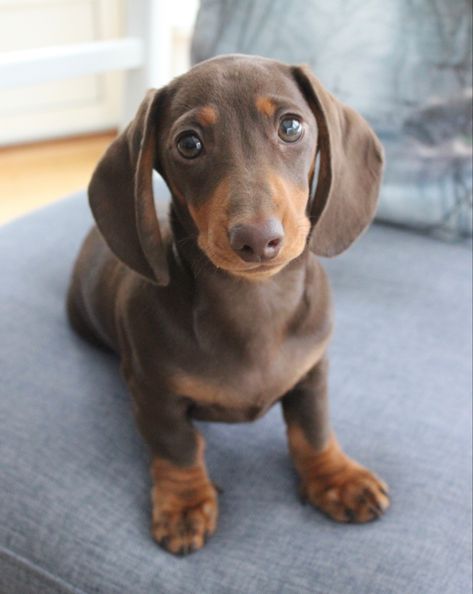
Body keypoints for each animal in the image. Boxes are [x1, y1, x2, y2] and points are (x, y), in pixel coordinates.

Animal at [67, 53, 390, 552]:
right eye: (189, 143)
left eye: (291, 126)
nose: (257, 240)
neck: (256, 304)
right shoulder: (154, 392)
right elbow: (177, 447)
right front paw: (184, 503)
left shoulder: (312, 373)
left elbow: (313, 430)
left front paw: (337, 479)